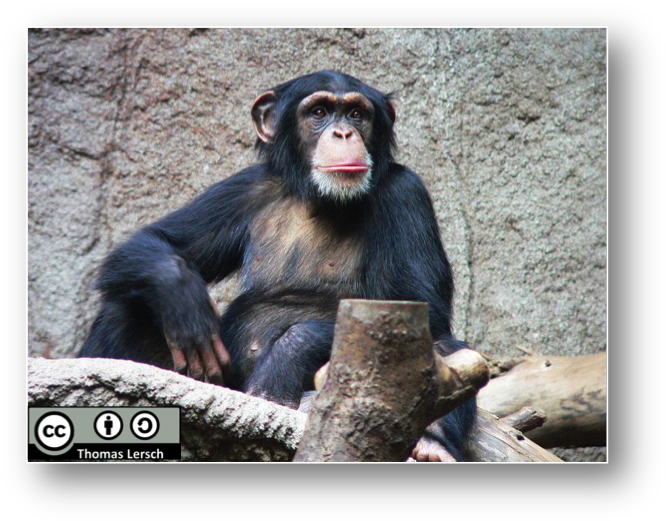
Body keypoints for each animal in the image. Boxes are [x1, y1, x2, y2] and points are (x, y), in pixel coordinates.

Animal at [80, 70, 476, 461]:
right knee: (126, 306)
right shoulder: (245, 187)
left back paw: (431, 444)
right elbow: (156, 241)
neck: (322, 198)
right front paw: (183, 298)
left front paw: (287, 357)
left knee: (444, 347)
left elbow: (424, 311)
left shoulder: (407, 193)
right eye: (319, 112)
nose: (343, 133)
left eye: (356, 114)